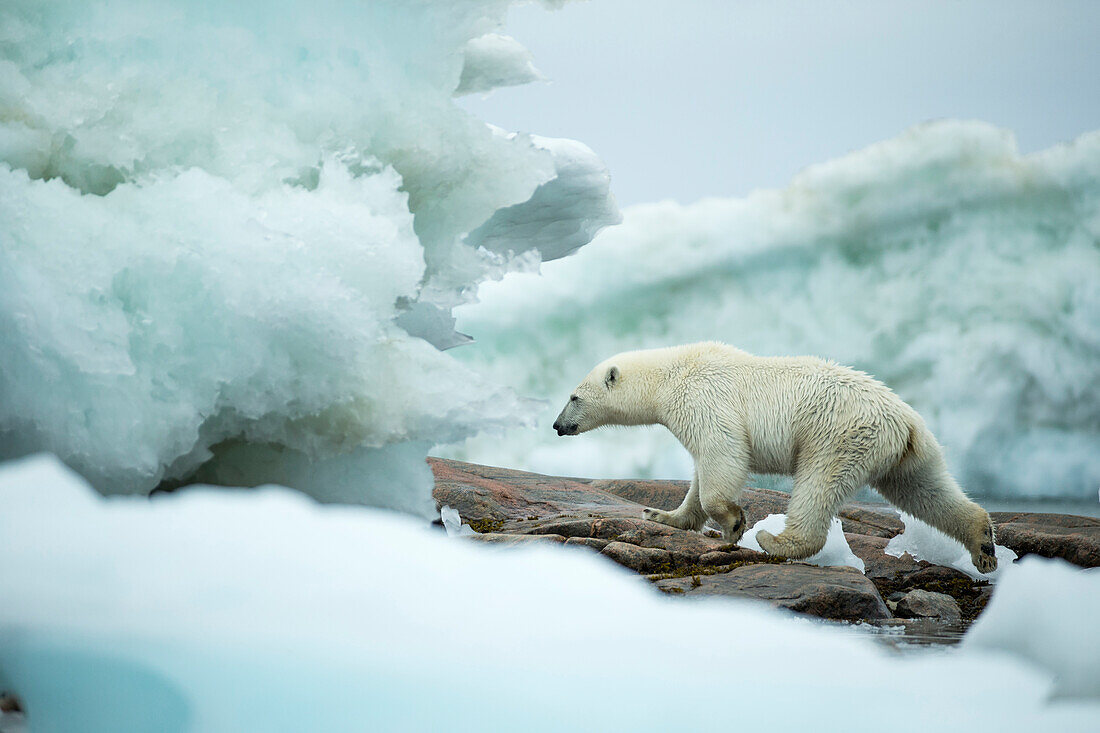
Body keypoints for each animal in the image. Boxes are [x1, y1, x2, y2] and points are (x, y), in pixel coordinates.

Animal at [550, 341, 998, 572]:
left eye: (573, 397)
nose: (557, 425)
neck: (671, 373)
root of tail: (906, 421)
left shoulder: (705, 399)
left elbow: (722, 456)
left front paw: (734, 523)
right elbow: (699, 474)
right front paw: (661, 515)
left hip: (838, 435)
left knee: (818, 485)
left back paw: (776, 540)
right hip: (908, 454)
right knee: (925, 491)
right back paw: (983, 546)